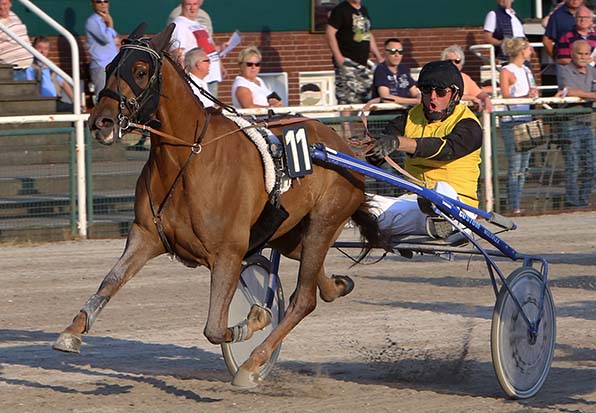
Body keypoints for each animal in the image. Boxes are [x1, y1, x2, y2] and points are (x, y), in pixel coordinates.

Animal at [52, 24, 386, 388]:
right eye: (110, 67)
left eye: (140, 71)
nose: (101, 122)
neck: (189, 158)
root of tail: (343, 147)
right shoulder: (145, 236)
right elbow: (111, 281)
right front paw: (72, 331)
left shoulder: (228, 252)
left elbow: (215, 327)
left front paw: (253, 321)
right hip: (292, 233)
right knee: (314, 280)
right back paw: (336, 285)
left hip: (324, 222)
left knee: (303, 299)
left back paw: (253, 363)